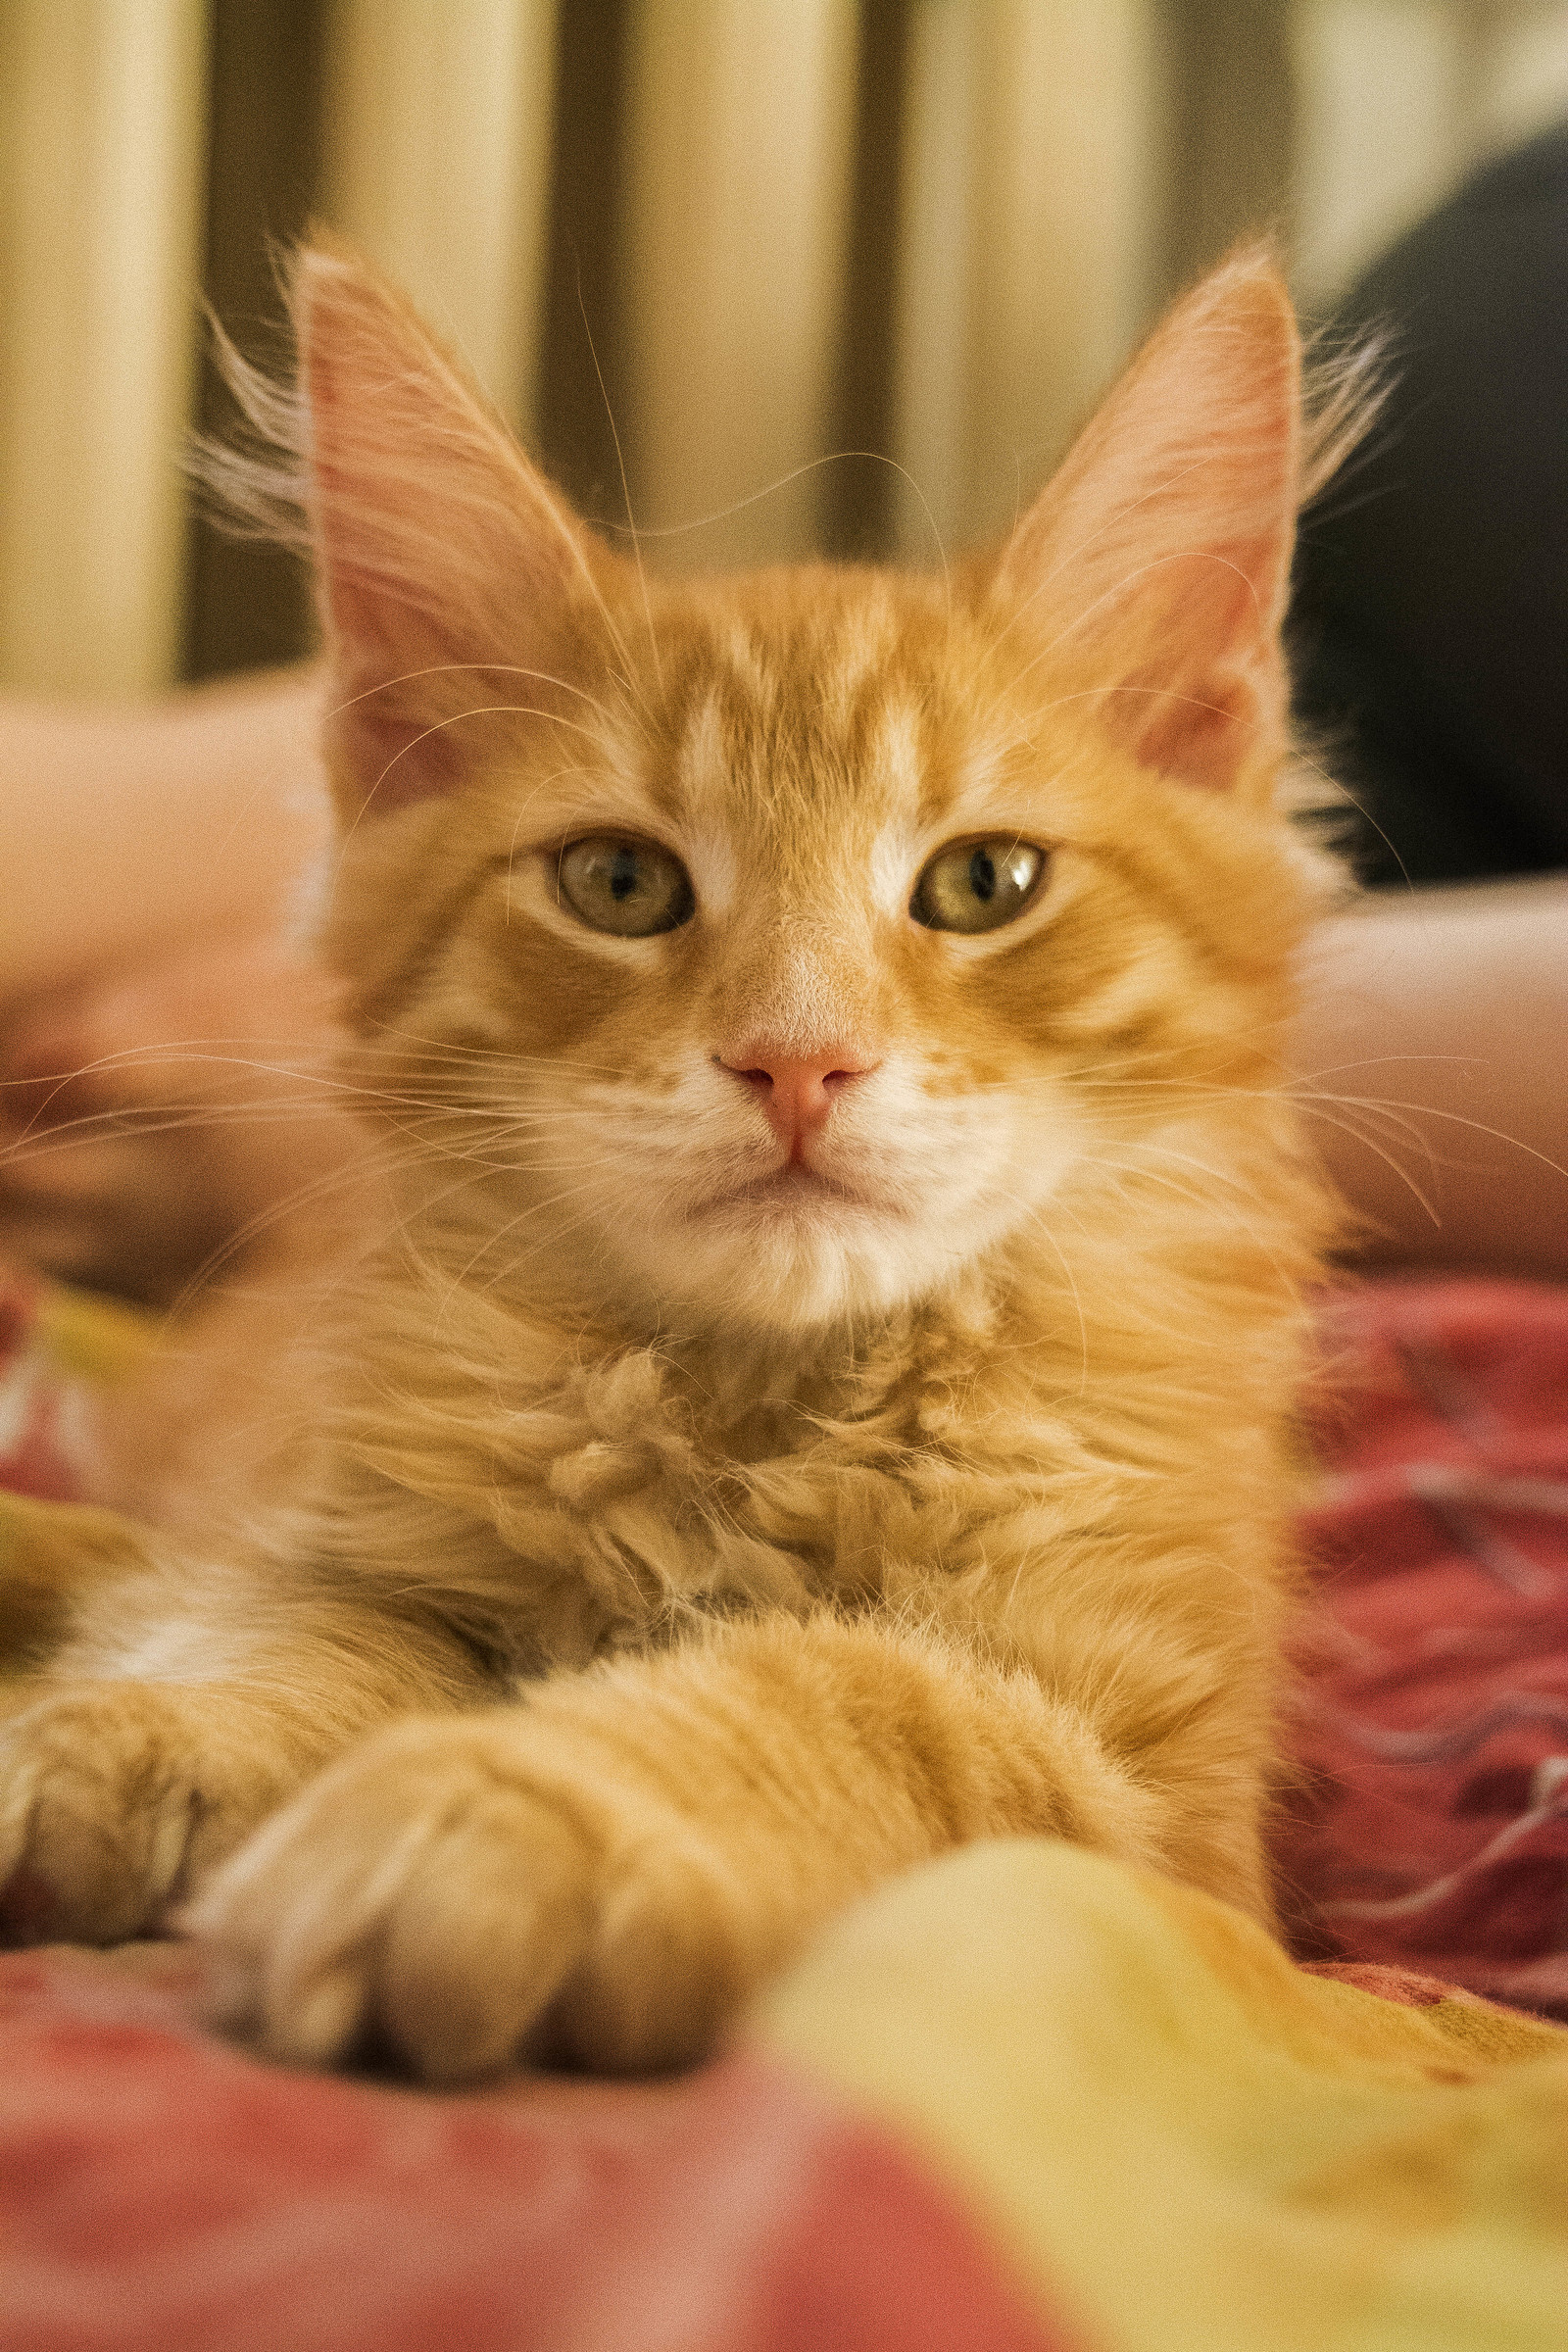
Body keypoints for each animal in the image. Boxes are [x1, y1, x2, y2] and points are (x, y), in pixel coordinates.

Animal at [0, 238, 1353, 2079]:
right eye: (620, 885)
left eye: (984, 883)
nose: (797, 1059)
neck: (762, 1404)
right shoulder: (333, 1535)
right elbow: (300, 1632)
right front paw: (138, 1737)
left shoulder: (1155, 1797)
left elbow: (854, 1694)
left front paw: (503, 1816)